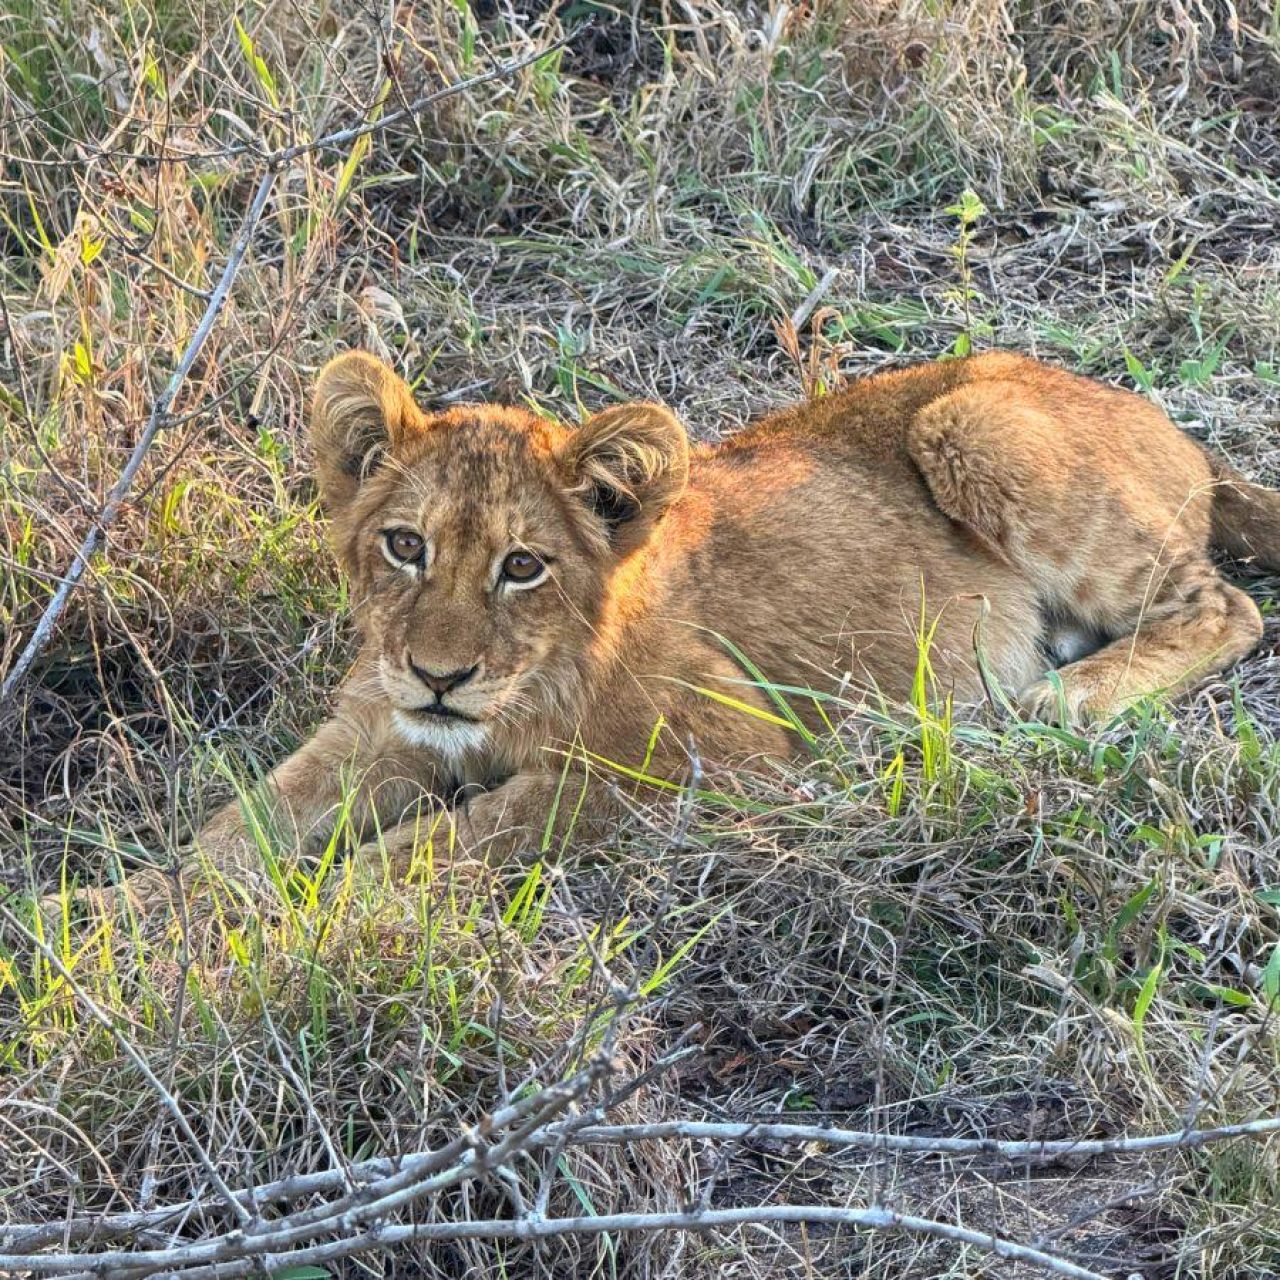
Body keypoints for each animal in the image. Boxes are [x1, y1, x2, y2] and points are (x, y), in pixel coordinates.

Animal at [69, 349, 1280, 911]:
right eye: (404, 545)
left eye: (523, 565)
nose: (439, 674)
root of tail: (1167, 424)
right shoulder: (376, 727)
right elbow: (237, 829)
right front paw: (105, 921)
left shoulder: (709, 757)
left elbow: (454, 838)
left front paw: (306, 914)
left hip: (967, 421)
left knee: (1225, 605)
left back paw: (1047, 704)